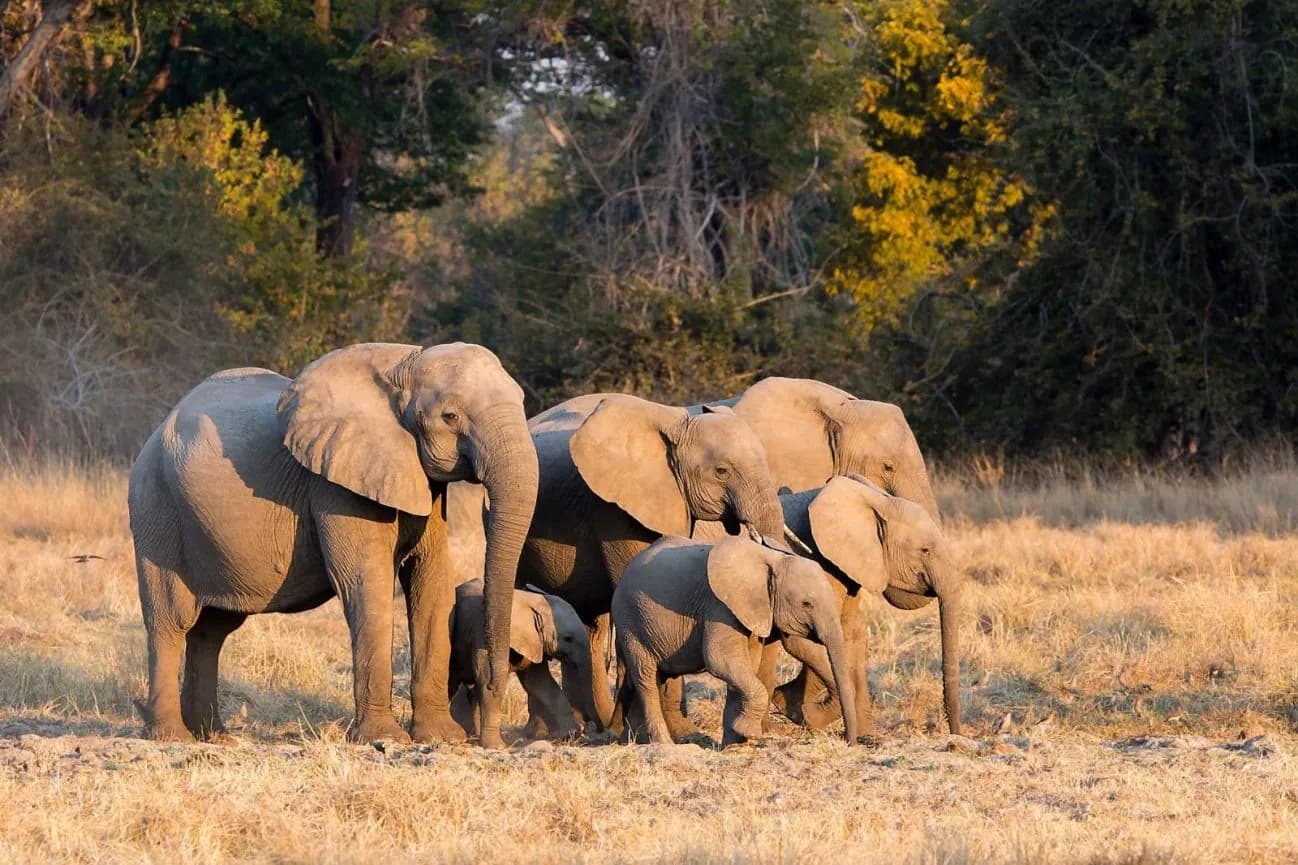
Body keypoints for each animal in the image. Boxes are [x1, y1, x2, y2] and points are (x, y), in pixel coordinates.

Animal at [127, 342, 538, 749]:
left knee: (211, 629)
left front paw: (441, 738)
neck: (404, 364)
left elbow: (432, 577)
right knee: (171, 620)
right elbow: (365, 579)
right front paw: (384, 738)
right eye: (450, 416)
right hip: (157, 509)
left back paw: (212, 736)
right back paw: (171, 736)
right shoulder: (336, 483)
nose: (492, 741)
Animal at [449, 579, 596, 740]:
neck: (529, 600)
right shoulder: (482, 636)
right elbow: (486, 681)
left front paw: (569, 734)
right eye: (568, 639)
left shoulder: (534, 643)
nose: (586, 726)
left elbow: (540, 683)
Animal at [610, 535, 859, 746]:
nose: (850, 742)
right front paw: (749, 734)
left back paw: (632, 741)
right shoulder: (719, 606)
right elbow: (720, 660)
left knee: (654, 678)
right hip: (629, 621)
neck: (771, 559)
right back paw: (663, 744)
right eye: (807, 604)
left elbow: (746, 665)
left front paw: (735, 745)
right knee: (646, 679)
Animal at [767, 474, 962, 735]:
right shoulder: (813, 561)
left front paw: (866, 737)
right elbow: (801, 639)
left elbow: (850, 635)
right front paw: (802, 714)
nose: (956, 733)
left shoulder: (845, 568)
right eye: (925, 550)